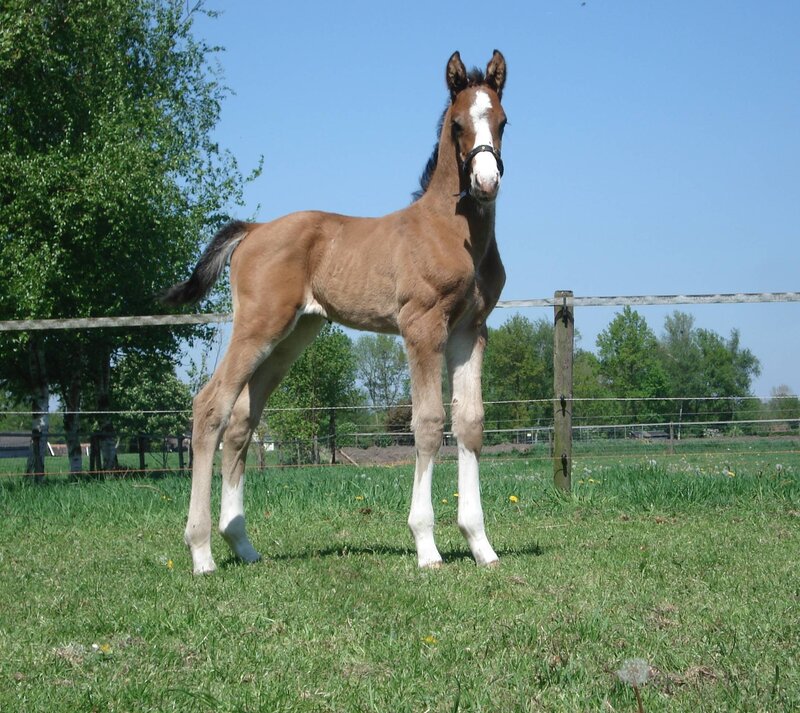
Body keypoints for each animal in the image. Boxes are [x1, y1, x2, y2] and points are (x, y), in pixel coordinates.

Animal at [162, 50, 509, 574]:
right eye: (456, 125)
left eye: (503, 121)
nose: (486, 183)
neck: (449, 231)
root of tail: (255, 229)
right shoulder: (421, 326)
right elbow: (428, 424)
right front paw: (426, 546)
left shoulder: (471, 329)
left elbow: (469, 424)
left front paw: (480, 545)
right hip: (258, 326)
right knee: (210, 407)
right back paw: (201, 552)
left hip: (293, 335)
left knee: (242, 422)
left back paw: (242, 544)